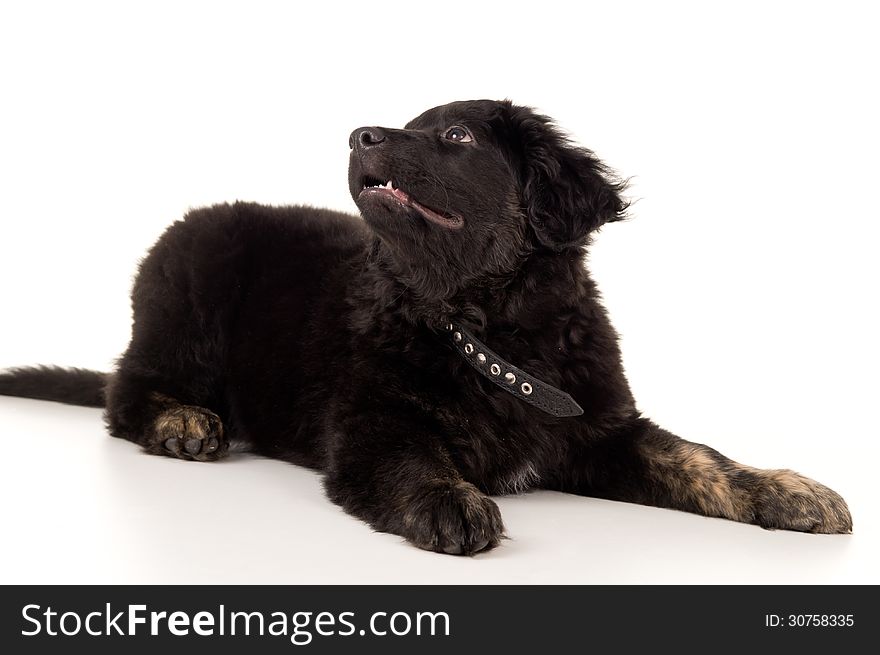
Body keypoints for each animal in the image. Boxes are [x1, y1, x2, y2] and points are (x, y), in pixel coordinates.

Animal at [0, 100, 852, 556]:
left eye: (457, 138)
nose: (358, 135)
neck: (491, 335)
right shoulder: (372, 424)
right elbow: (415, 459)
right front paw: (451, 500)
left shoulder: (603, 427)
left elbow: (701, 458)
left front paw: (787, 490)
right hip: (190, 285)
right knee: (126, 391)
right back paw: (183, 420)